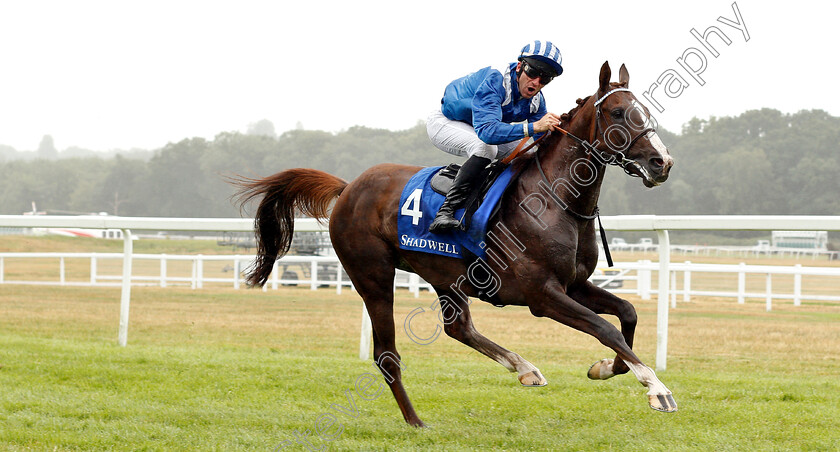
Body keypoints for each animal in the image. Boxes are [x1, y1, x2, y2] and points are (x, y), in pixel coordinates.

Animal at [235, 61, 676, 426]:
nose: (662, 163)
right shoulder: (542, 295)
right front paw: (658, 390)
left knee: (458, 327)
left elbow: (627, 314)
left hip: (445, 275)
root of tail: (348, 189)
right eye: (618, 113)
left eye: (645, 111)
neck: (557, 199)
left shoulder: (573, 284)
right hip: (372, 276)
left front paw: (607, 368)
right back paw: (416, 421)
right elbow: (605, 327)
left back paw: (523, 368)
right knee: (387, 354)